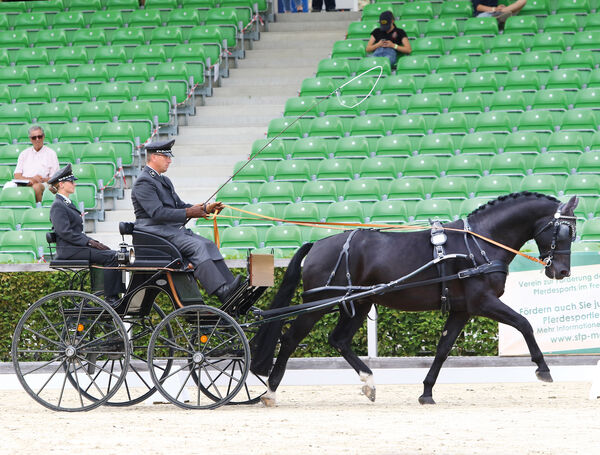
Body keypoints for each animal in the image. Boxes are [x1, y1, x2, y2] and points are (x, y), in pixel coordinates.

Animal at [248, 192, 576, 406]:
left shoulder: (462, 310)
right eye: (563, 230)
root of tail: (317, 244)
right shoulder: (483, 303)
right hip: (319, 304)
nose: (561, 271)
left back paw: (369, 383)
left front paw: (427, 392)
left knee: (338, 339)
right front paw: (543, 369)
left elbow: (443, 349)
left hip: (358, 304)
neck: (478, 244)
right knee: (291, 339)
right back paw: (271, 392)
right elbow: (524, 324)